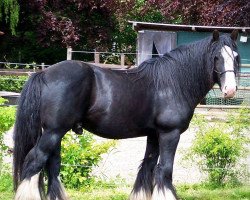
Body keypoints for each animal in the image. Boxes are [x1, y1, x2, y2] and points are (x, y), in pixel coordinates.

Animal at [12, 30, 239, 199]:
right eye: (216, 57)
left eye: (235, 57)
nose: (229, 90)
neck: (173, 83)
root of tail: (44, 73)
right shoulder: (170, 134)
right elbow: (164, 170)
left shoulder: (154, 135)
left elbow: (147, 168)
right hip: (54, 132)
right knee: (34, 161)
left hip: (56, 133)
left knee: (52, 166)